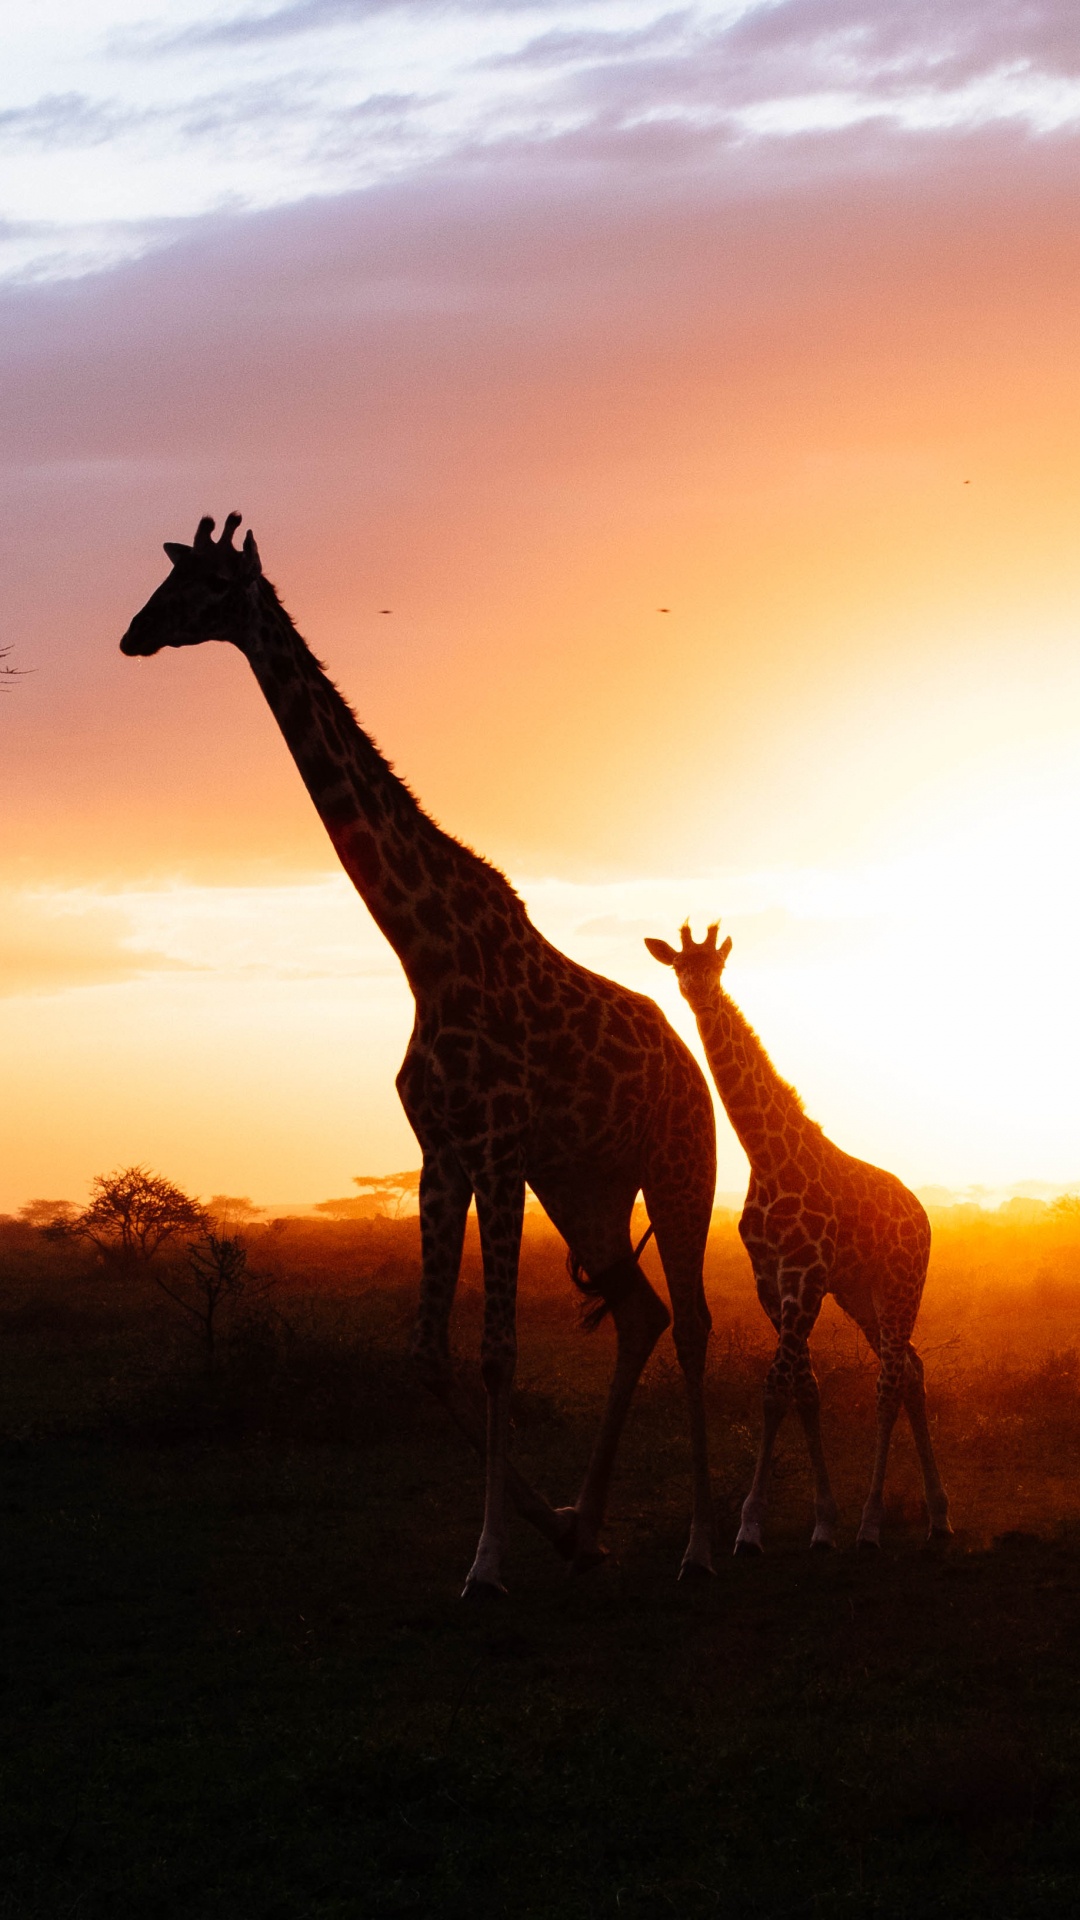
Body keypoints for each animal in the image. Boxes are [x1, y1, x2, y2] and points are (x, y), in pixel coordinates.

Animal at [120, 515, 719, 1595]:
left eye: (208, 587)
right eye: (168, 579)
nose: (133, 634)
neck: (423, 950)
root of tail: (689, 1069)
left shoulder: (496, 1150)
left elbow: (497, 1352)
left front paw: (487, 1562)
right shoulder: (442, 1156)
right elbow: (429, 1353)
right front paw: (548, 1528)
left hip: (676, 1166)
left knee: (691, 1323)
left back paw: (700, 1544)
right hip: (588, 1187)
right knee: (643, 1315)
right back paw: (590, 1528)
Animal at [646, 922, 951, 1552]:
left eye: (715, 966)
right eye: (679, 966)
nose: (699, 993)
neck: (766, 1156)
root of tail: (922, 1216)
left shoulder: (806, 1275)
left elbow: (775, 1386)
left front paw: (750, 1526)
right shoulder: (772, 1279)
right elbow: (803, 1388)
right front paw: (822, 1521)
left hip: (902, 1285)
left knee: (889, 1380)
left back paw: (872, 1523)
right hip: (863, 1294)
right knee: (910, 1369)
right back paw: (937, 1516)